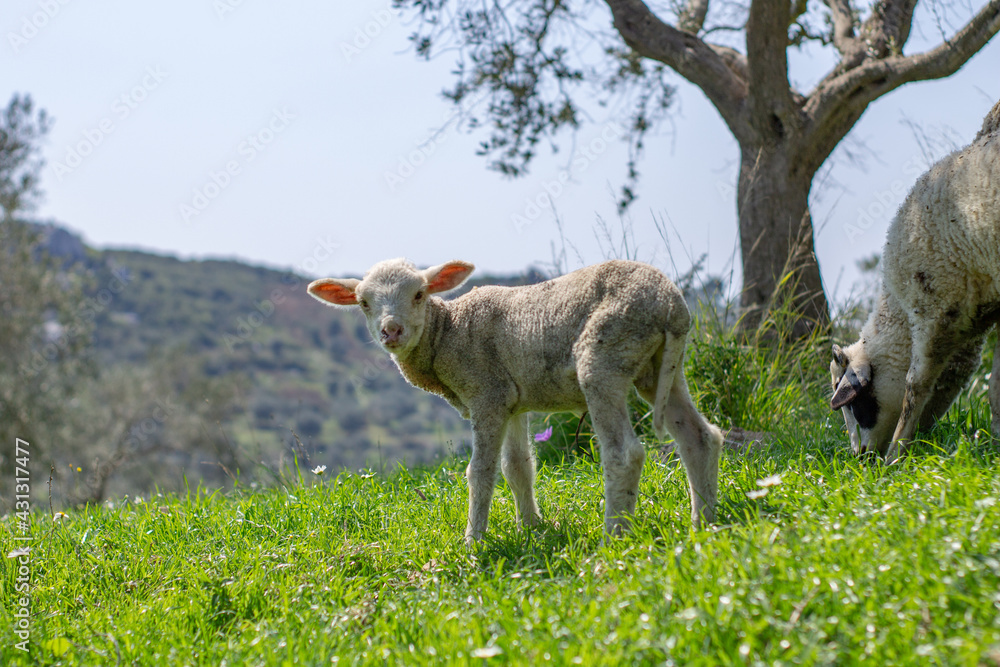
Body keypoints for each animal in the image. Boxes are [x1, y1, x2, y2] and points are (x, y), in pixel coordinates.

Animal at [307, 259, 723, 543]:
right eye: (363, 302)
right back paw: (704, 523)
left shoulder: (487, 394)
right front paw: (533, 528)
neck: (447, 333)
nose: (391, 331)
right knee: (700, 437)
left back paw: (614, 536)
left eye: (419, 294)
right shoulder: (512, 400)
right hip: (659, 367)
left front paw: (474, 542)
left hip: (607, 352)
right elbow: (518, 466)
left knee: (624, 453)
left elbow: (481, 472)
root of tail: (670, 303)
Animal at [831, 99, 1000, 461]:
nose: (860, 458)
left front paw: (897, 454)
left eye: (852, 405)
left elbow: (915, 384)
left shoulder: (934, 308)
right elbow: (995, 382)